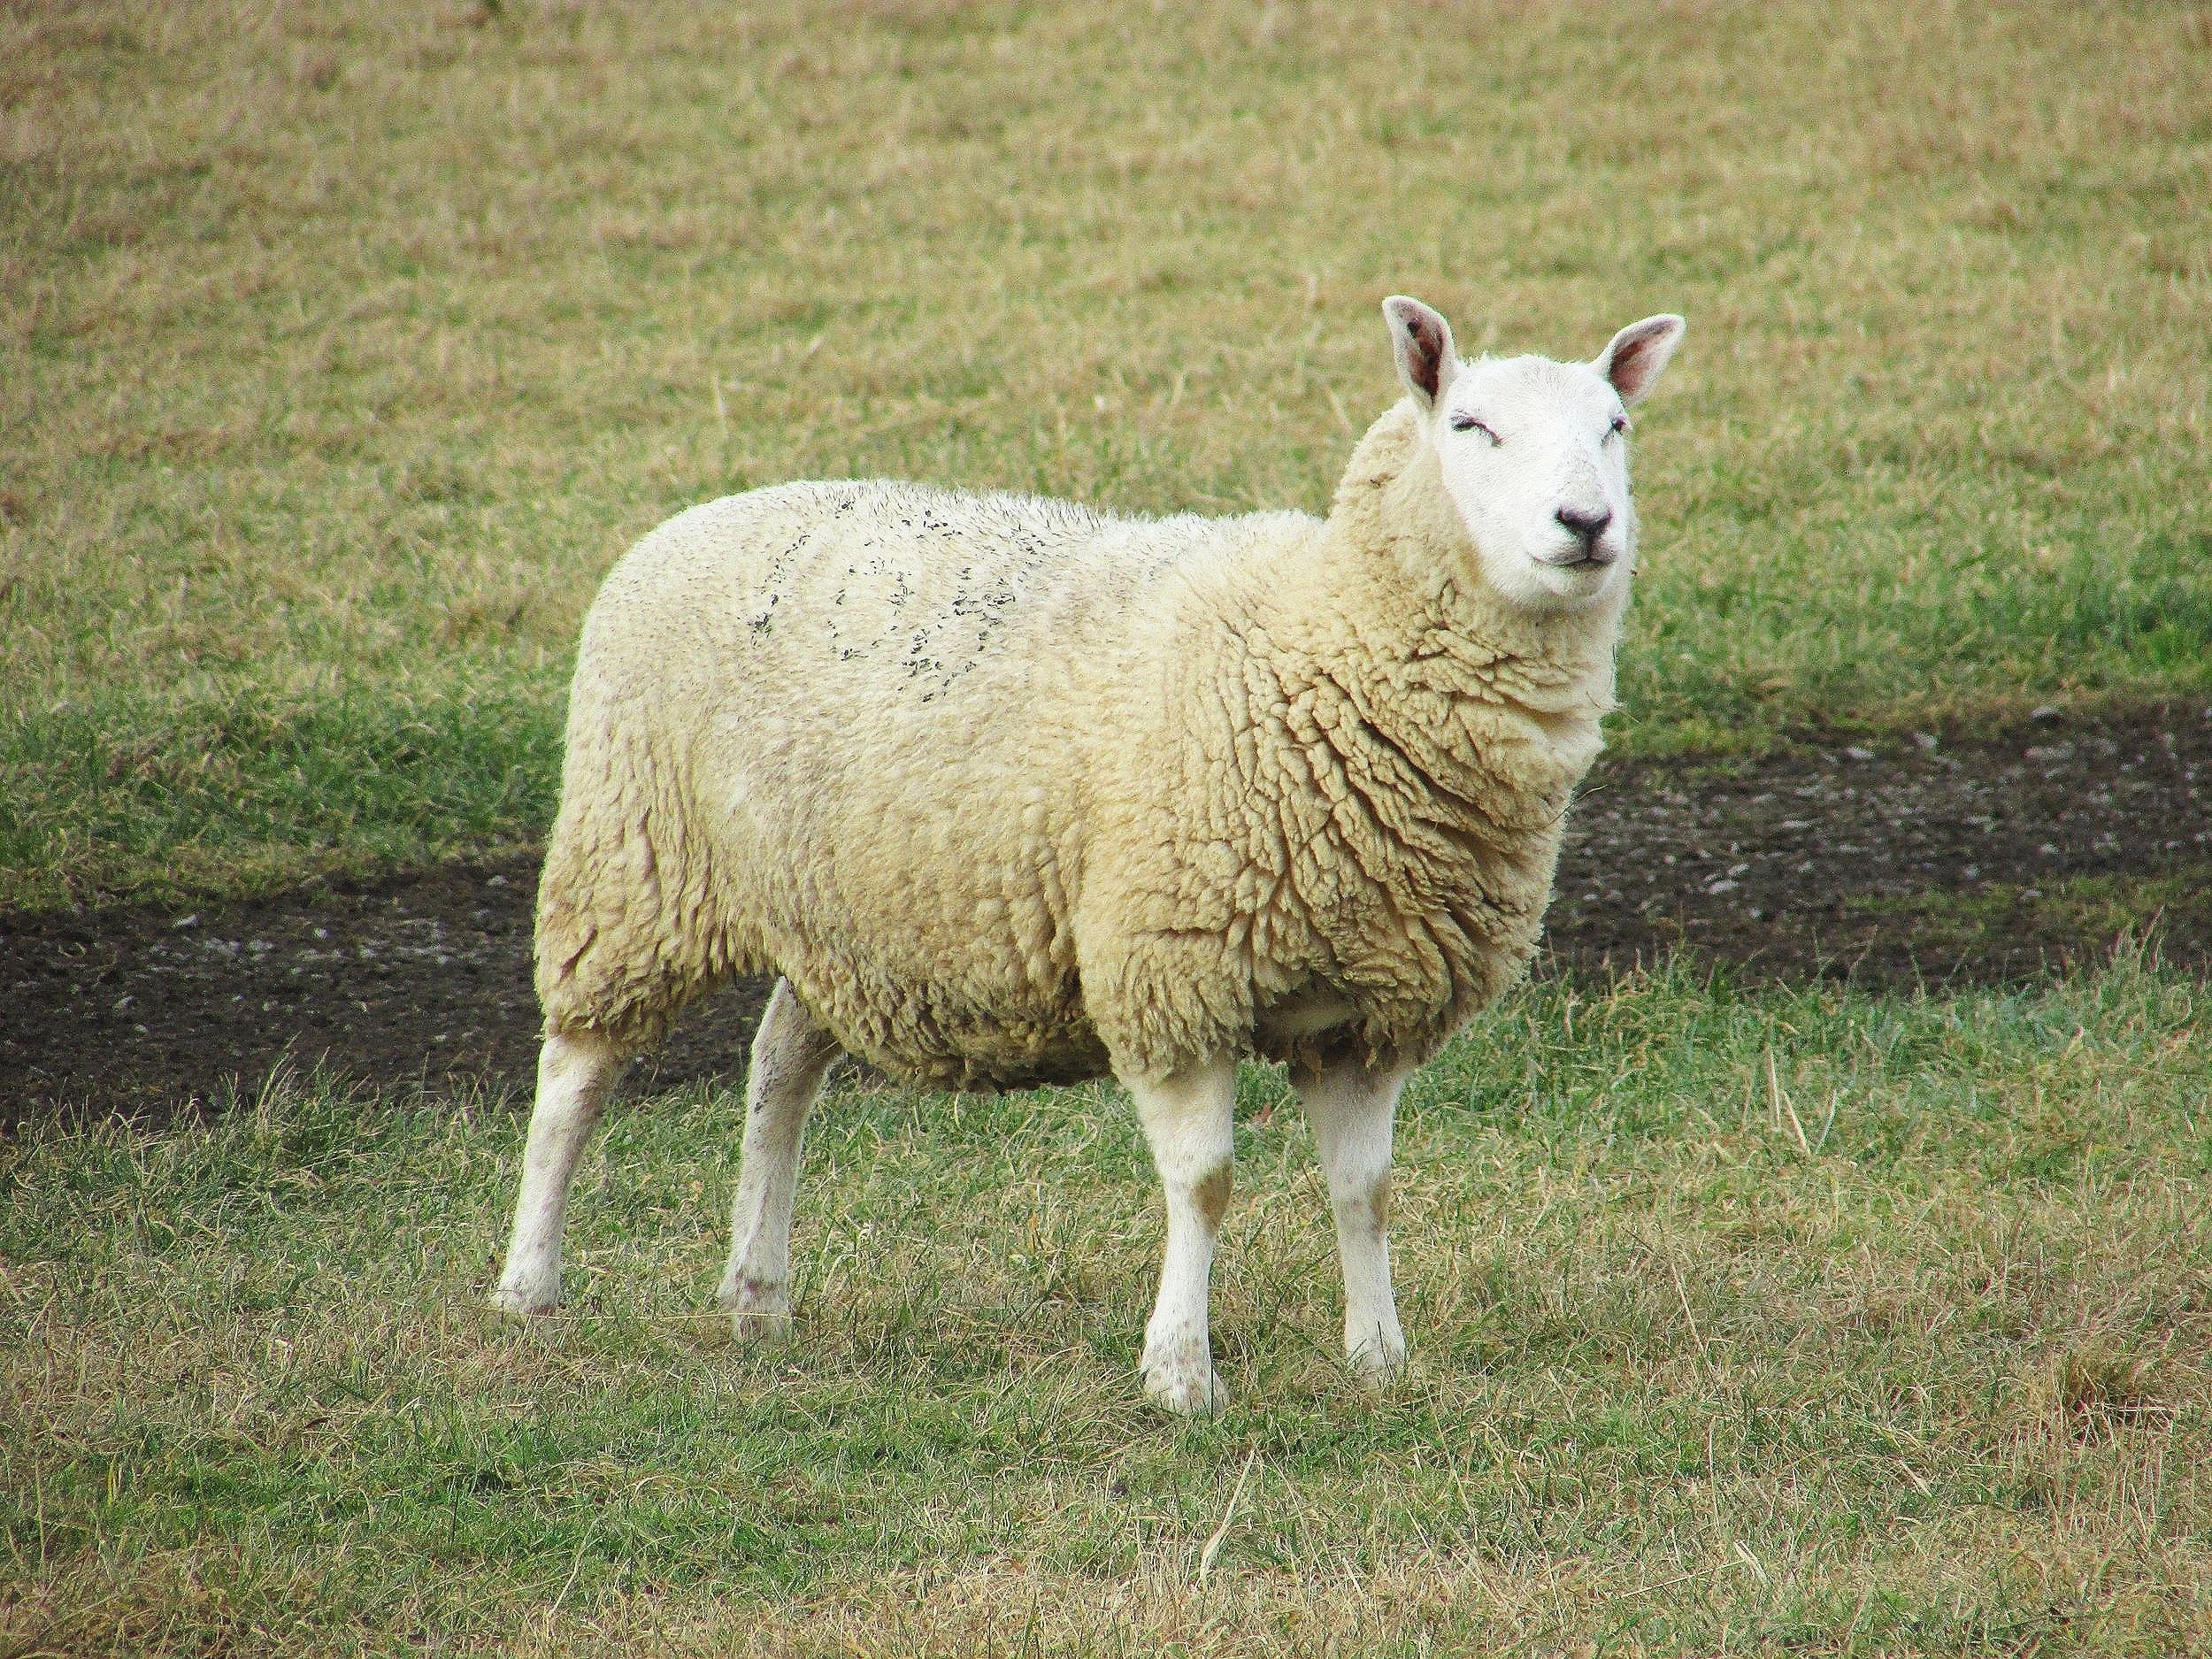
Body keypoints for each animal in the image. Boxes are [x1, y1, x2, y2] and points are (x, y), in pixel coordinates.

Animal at [491, 297, 1685, 1413]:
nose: (1587, 523)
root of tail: (691, 518)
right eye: (1472, 425)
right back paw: (529, 1286)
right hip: (632, 861)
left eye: (1617, 426)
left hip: (845, 909)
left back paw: (756, 1294)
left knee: (777, 1066)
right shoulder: (1172, 970)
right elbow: (1205, 1186)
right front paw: (1180, 1373)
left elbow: (1367, 1191)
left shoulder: (1367, 1008)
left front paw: (1379, 1359)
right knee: (575, 1079)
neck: (1328, 637)